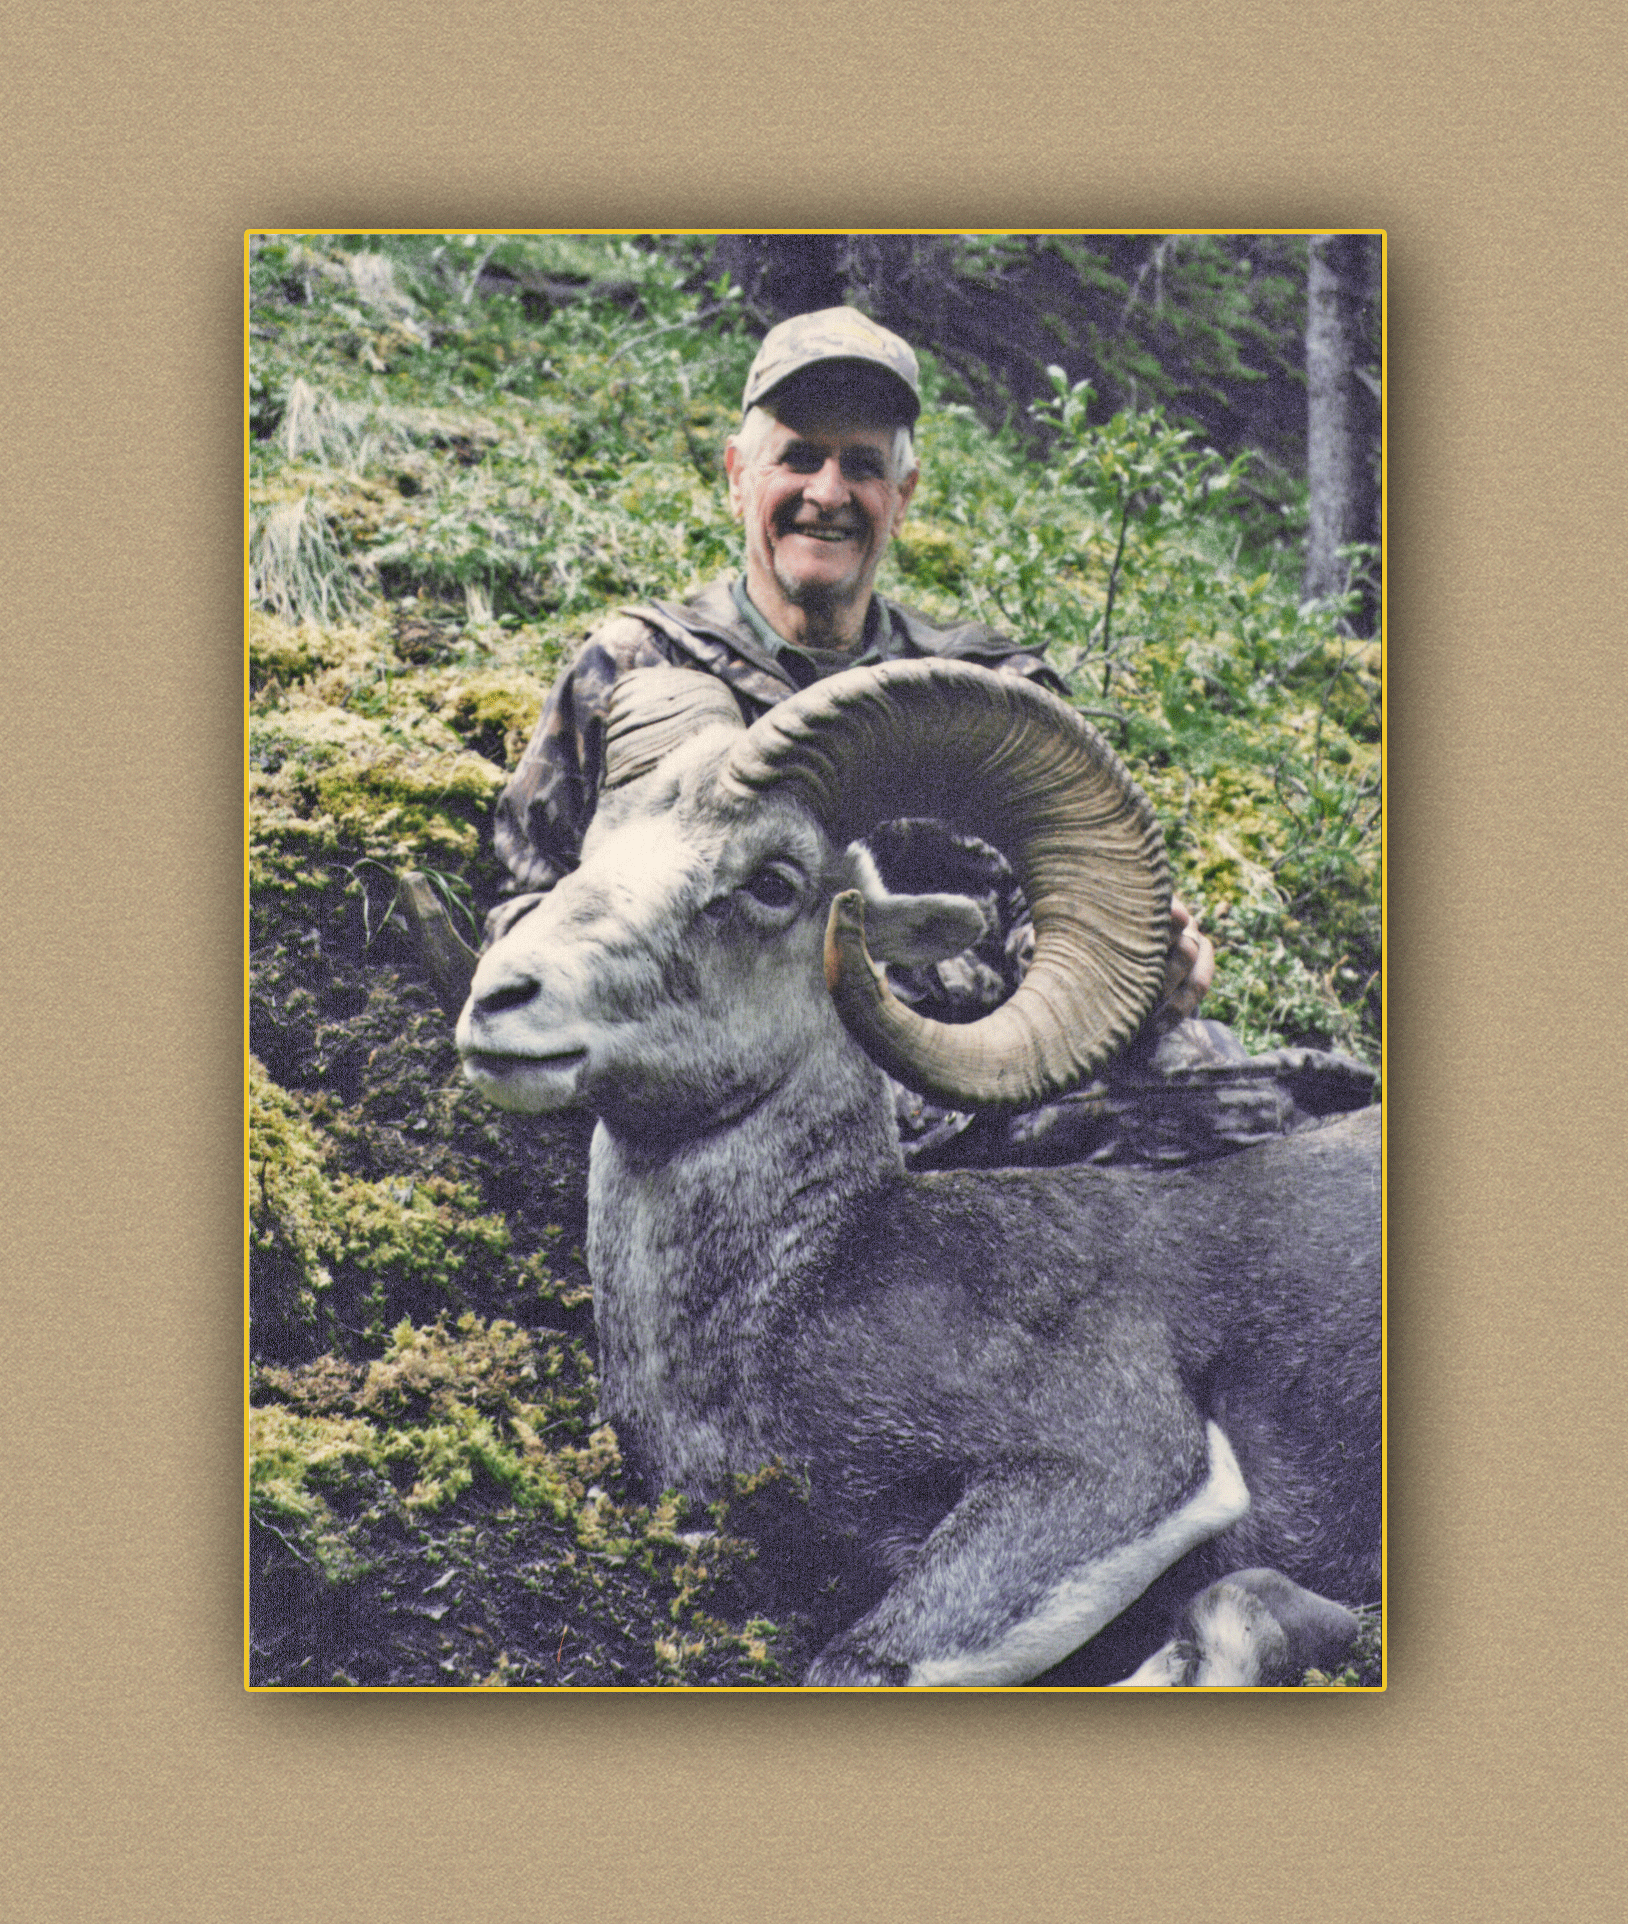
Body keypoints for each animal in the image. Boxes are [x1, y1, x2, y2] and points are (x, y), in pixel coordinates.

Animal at [457, 660, 1382, 1687]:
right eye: (591, 852)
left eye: (772, 882)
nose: (500, 998)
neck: (809, 1281)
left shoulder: (1117, 1470)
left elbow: (857, 1663)